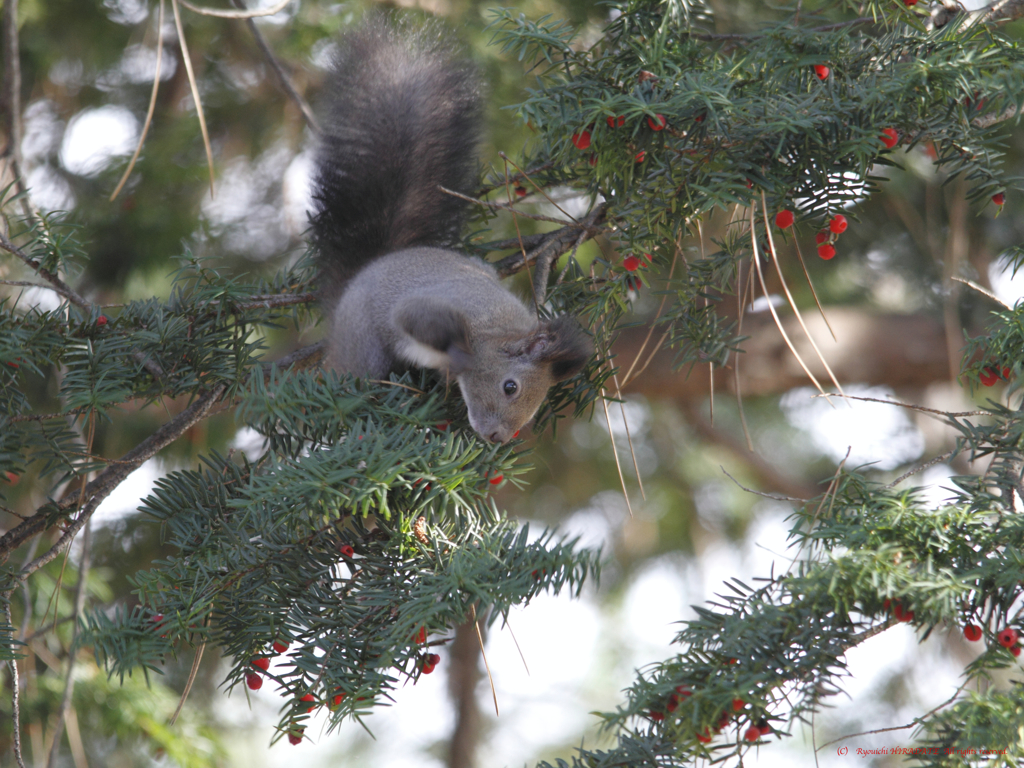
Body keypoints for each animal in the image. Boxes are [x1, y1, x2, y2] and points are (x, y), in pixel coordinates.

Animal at [309, 18, 593, 444]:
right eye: (510, 387)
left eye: (535, 405)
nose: (499, 438)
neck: (498, 328)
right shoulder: (436, 308)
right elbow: (418, 320)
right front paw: (459, 358)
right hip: (361, 342)